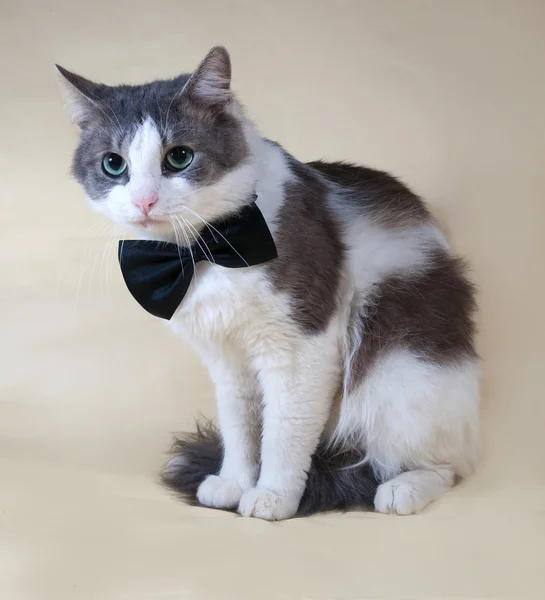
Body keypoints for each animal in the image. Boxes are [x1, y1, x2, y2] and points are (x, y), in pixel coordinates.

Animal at [57, 45, 478, 520]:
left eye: (179, 157)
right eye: (114, 165)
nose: (144, 201)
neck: (202, 251)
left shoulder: (302, 348)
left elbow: (284, 433)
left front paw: (273, 495)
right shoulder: (226, 358)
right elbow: (241, 428)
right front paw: (233, 483)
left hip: (400, 373)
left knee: (445, 465)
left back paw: (402, 488)